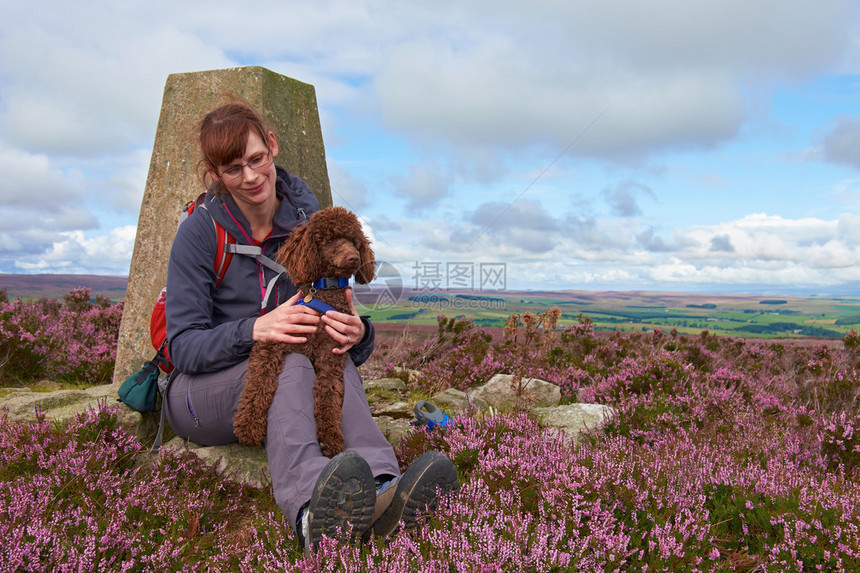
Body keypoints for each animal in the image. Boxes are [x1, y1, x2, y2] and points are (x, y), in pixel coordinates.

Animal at [233, 206, 374, 456]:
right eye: (329, 240)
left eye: (354, 241)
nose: (354, 258)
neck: (325, 292)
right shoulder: (273, 341)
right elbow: (258, 382)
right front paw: (248, 426)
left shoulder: (331, 354)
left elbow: (328, 394)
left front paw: (330, 437)